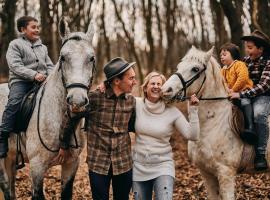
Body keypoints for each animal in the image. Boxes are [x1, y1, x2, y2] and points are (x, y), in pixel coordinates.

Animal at [0, 18, 96, 199]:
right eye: (63, 57)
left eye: (92, 58)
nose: (77, 101)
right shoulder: (37, 168)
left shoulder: (71, 164)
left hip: (11, 160)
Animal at [162, 45, 270, 200]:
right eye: (179, 66)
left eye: (195, 69)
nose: (165, 90)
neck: (211, 124)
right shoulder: (206, 173)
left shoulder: (226, 173)